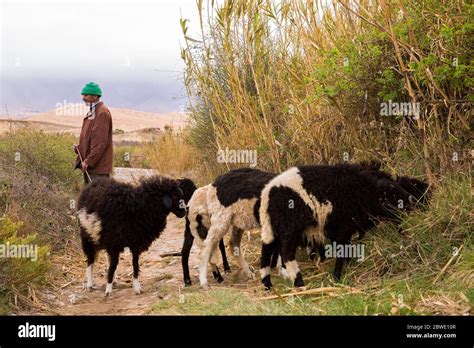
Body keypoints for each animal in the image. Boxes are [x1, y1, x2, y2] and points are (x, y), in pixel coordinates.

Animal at [260, 163, 422, 288]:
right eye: (390, 191)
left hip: (274, 229)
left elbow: (345, 247)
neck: (365, 189)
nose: (412, 202)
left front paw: (347, 265)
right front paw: (337, 276)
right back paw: (299, 282)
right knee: (287, 254)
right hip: (290, 228)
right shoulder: (343, 226)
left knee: (267, 250)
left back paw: (268, 284)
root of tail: (267, 194)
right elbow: (341, 250)